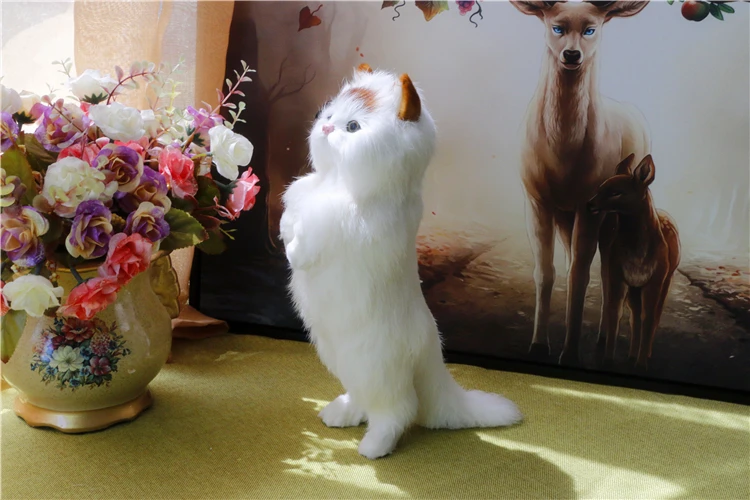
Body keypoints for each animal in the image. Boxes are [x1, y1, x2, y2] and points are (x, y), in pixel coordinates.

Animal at [280, 64, 522, 459]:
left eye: (352, 127)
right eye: (327, 115)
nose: (326, 128)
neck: (337, 182)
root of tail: (429, 350)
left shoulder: (335, 222)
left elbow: (302, 244)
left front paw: (292, 243)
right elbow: (293, 210)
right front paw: (285, 226)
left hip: (374, 368)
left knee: (399, 411)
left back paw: (374, 447)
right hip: (340, 357)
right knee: (365, 401)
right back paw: (341, 414)